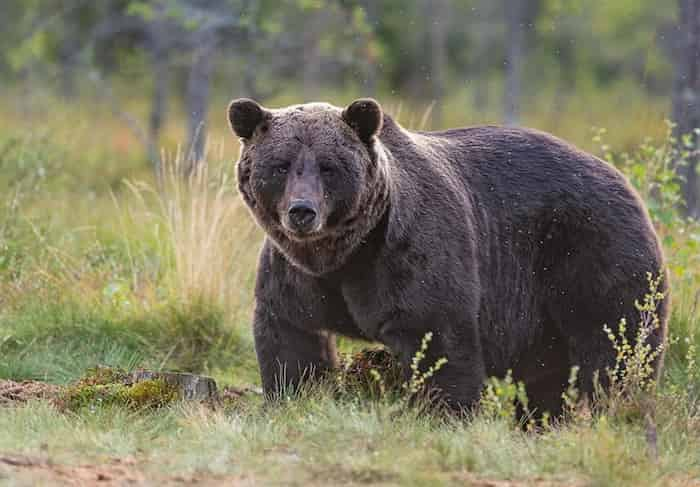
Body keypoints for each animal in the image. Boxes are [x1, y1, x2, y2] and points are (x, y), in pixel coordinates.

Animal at [228, 98, 668, 416]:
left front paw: (444, 413)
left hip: (590, 252)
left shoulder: (408, 254)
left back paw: (618, 409)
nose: (302, 211)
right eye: (280, 165)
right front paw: (292, 397)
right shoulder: (296, 273)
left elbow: (437, 337)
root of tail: (625, 182)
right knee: (552, 375)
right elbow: (292, 338)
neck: (345, 253)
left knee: (616, 346)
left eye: (328, 166)